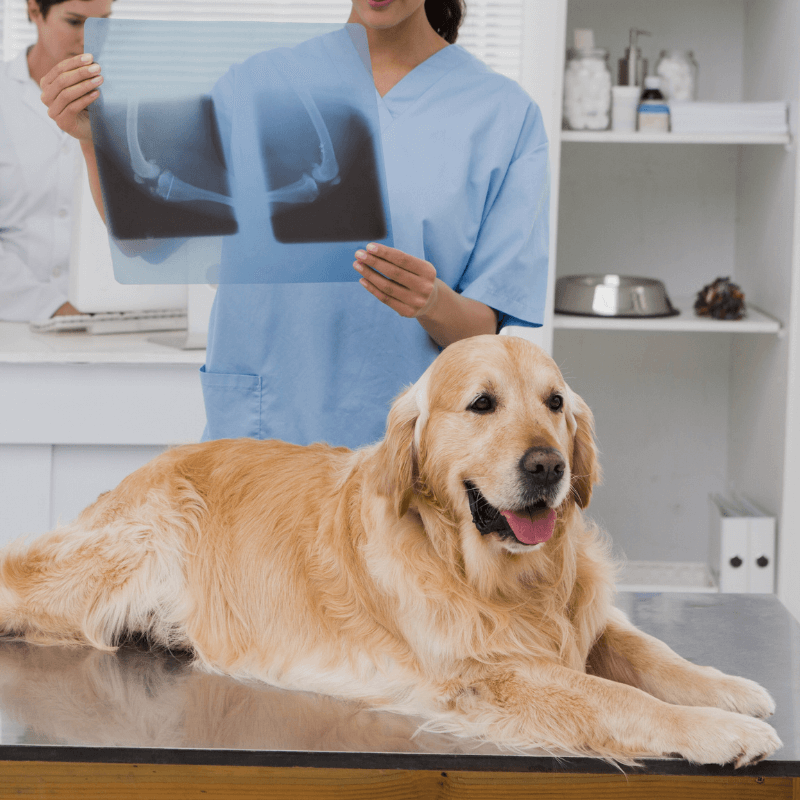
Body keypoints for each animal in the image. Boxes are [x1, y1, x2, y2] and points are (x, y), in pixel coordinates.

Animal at [0, 334, 780, 764]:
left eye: (555, 402)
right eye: (482, 404)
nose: (548, 467)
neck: (496, 574)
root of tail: (149, 466)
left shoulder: (583, 618)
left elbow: (652, 654)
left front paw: (729, 689)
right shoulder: (487, 674)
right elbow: (619, 697)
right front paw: (717, 731)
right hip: (122, 552)